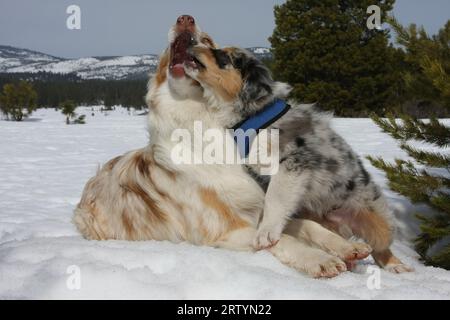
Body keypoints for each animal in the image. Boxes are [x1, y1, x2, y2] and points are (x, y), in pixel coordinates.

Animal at [74, 15, 372, 278]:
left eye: (208, 41)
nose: (185, 18)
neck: (205, 123)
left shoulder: (255, 211)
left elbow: (305, 225)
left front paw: (346, 246)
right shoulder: (225, 230)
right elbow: (284, 240)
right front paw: (319, 259)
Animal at [185, 43, 414, 272]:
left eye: (224, 56)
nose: (192, 45)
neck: (252, 116)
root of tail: (340, 222)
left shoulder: (293, 161)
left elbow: (275, 198)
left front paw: (265, 233)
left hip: (379, 220)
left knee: (381, 247)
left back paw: (395, 266)